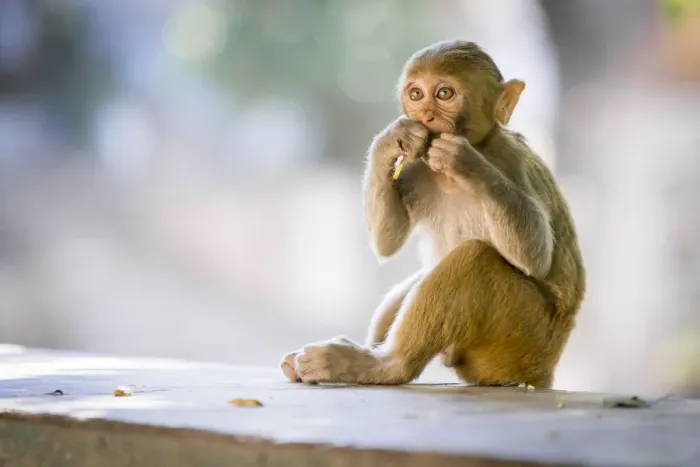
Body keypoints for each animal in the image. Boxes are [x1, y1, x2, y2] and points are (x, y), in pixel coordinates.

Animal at [280, 40, 585, 389]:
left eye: (443, 94)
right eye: (416, 94)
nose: (425, 115)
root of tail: (544, 369)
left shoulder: (512, 160)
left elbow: (535, 257)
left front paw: (466, 162)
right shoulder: (416, 168)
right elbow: (388, 241)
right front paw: (391, 140)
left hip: (522, 341)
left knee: (476, 259)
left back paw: (381, 364)